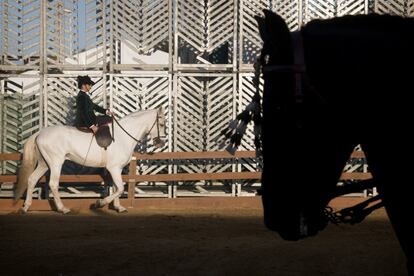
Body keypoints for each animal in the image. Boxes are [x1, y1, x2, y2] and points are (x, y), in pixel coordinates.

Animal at [14, 107, 167, 213]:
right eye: (162, 124)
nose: (161, 143)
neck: (123, 136)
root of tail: (40, 132)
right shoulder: (114, 168)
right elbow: (120, 188)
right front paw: (99, 203)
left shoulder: (116, 169)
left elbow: (117, 187)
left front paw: (118, 207)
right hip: (55, 163)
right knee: (52, 184)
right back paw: (63, 209)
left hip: (44, 163)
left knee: (32, 179)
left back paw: (26, 207)